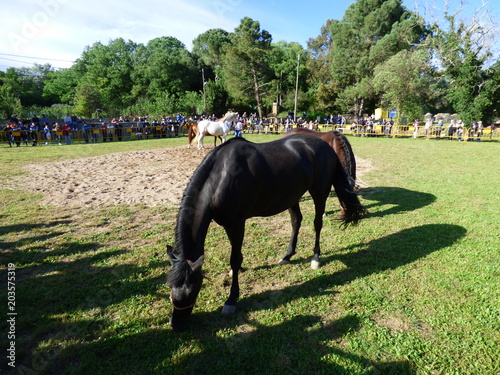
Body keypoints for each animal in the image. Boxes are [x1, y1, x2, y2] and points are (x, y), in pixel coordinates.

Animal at [166, 134, 366, 332]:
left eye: (192, 290)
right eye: (170, 287)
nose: (177, 324)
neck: (220, 177)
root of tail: (326, 146)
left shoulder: (237, 224)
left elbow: (235, 258)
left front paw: (232, 299)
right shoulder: (228, 225)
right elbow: (237, 256)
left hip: (319, 193)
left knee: (317, 223)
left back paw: (315, 258)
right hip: (292, 196)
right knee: (296, 221)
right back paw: (287, 256)